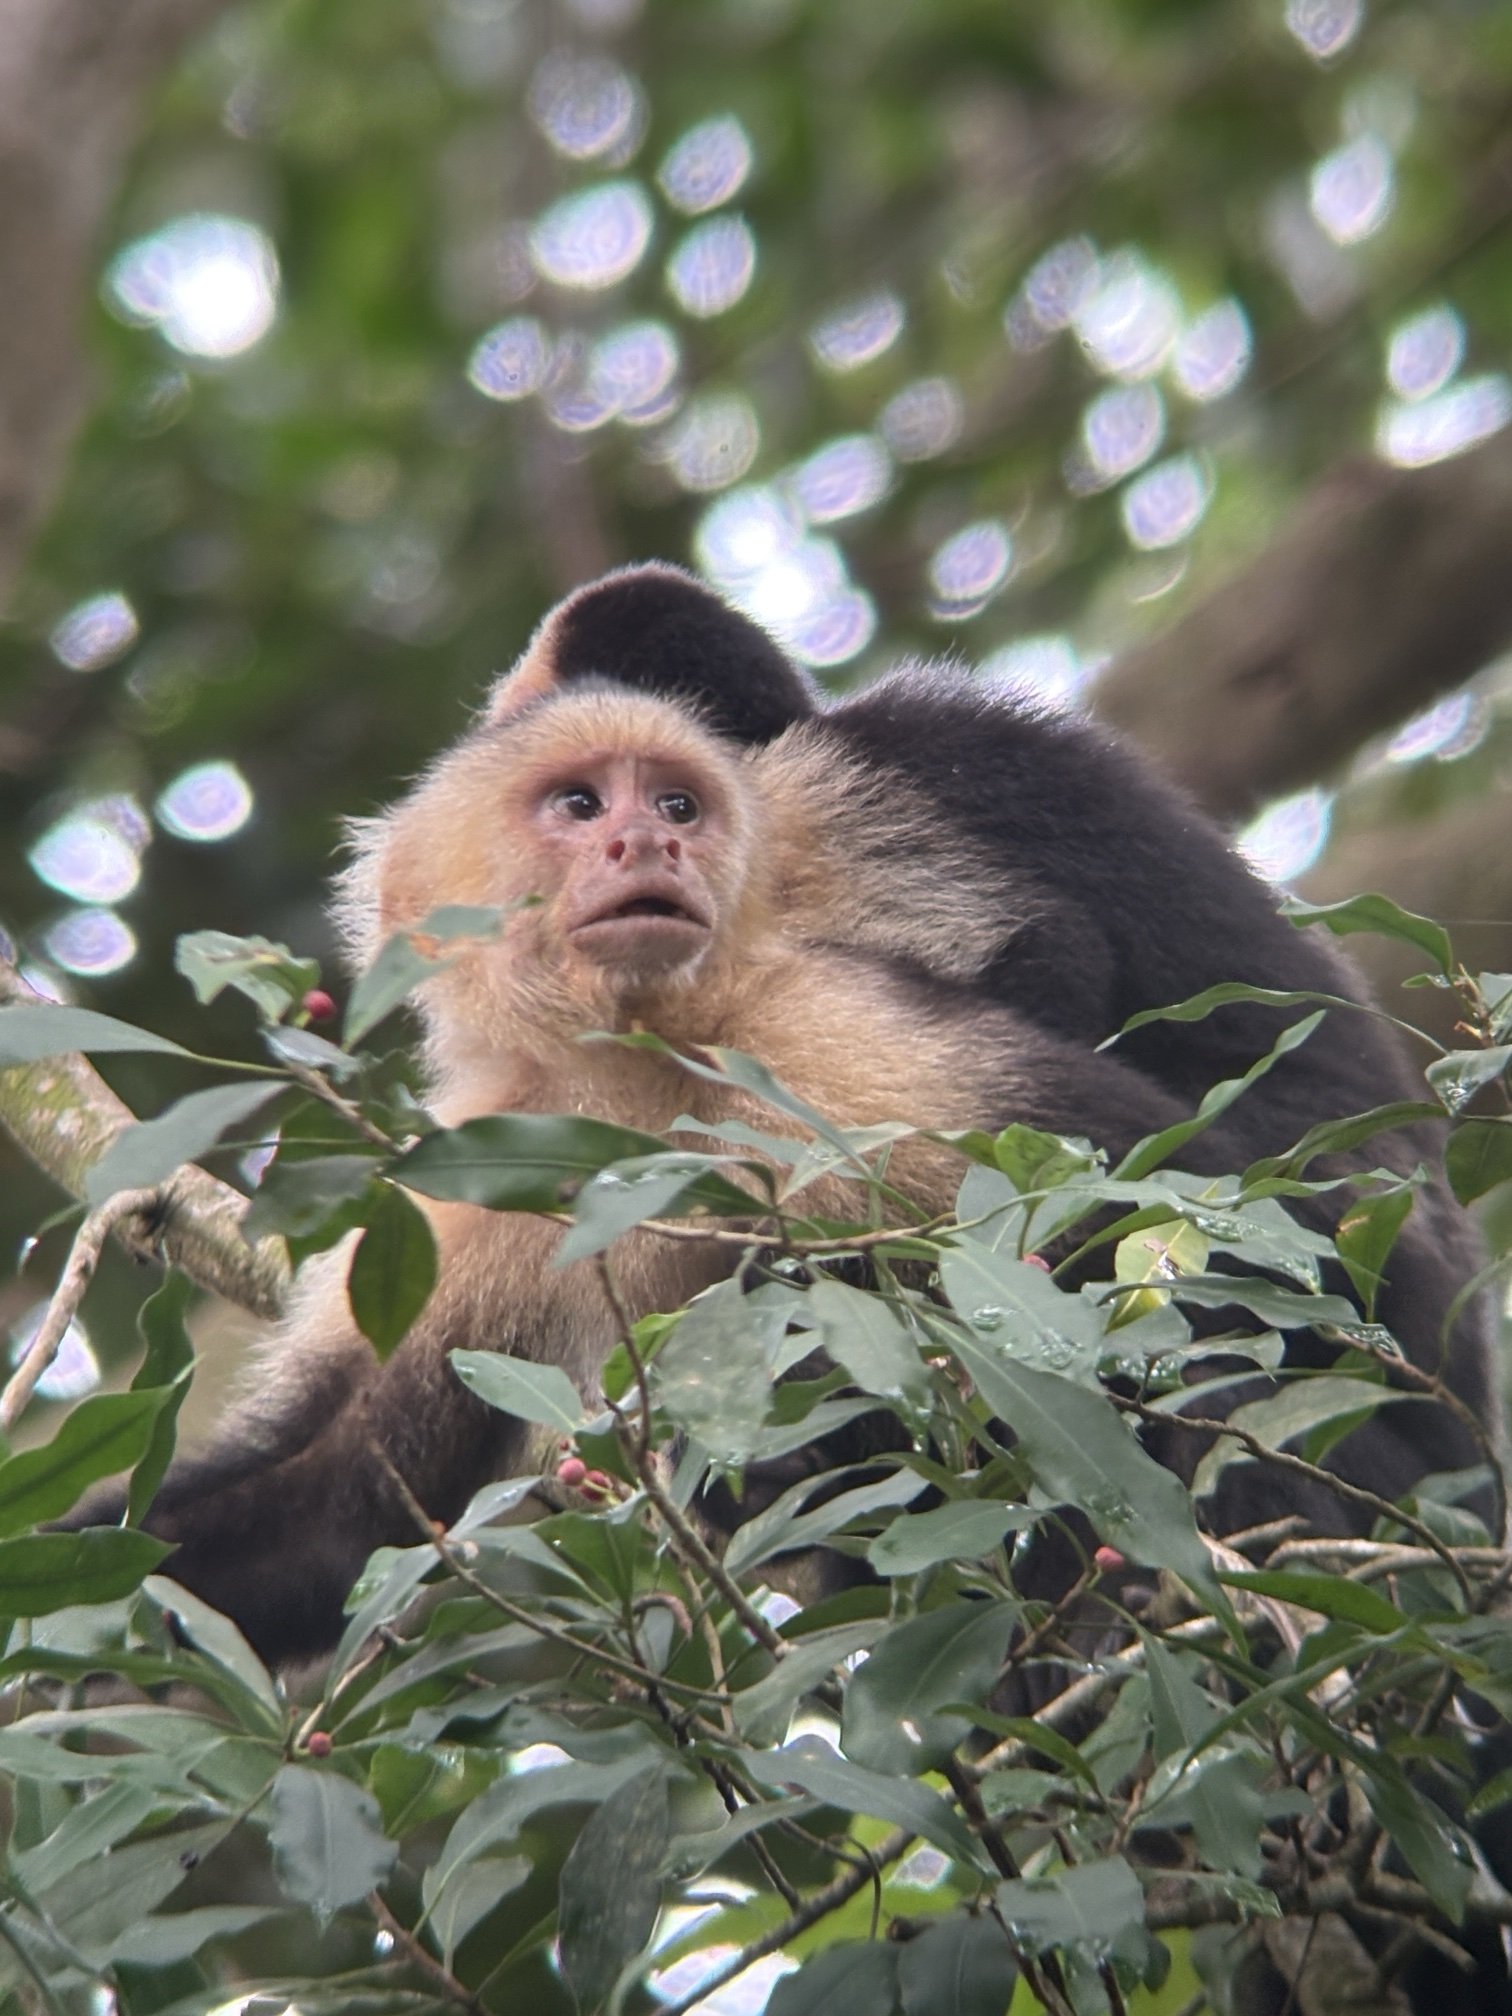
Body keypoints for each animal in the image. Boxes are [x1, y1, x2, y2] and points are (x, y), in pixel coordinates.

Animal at [64, 565, 1492, 1682]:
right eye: (578, 806)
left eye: (676, 805)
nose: (648, 846)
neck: (622, 1072)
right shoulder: (471, 1177)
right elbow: (345, 1495)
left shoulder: (819, 974)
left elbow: (1168, 1215)